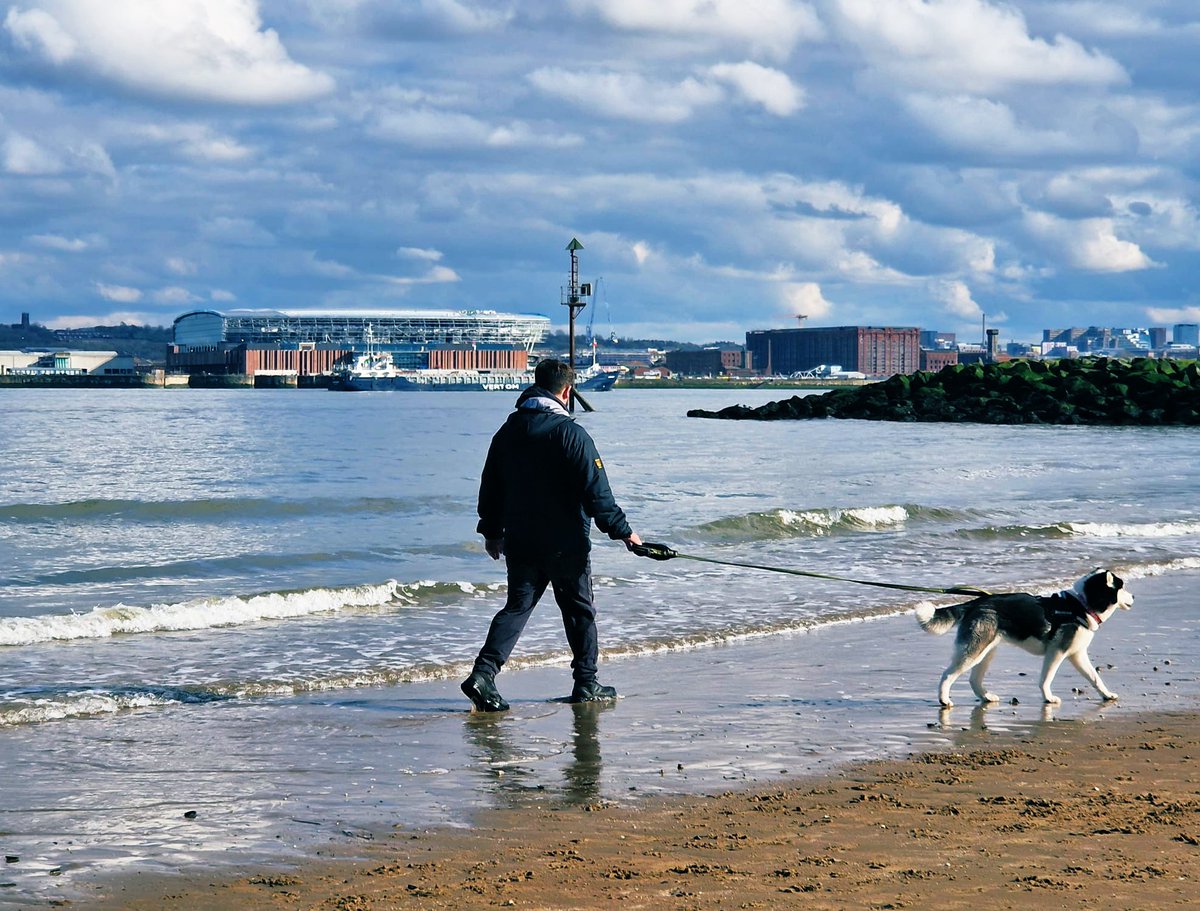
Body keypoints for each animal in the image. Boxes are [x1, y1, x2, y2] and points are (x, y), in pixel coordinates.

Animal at [916, 573, 1132, 710]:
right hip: (974, 650)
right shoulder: (1057, 652)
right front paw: (1048, 698)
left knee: (973, 679)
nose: (1134, 596)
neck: (1080, 606)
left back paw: (986, 697)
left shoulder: (1077, 654)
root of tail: (976, 602)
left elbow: (1095, 678)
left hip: (987, 651)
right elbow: (1046, 679)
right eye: (1123, 587)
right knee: (947, 674)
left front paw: (1107, 695)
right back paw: (944, 699)